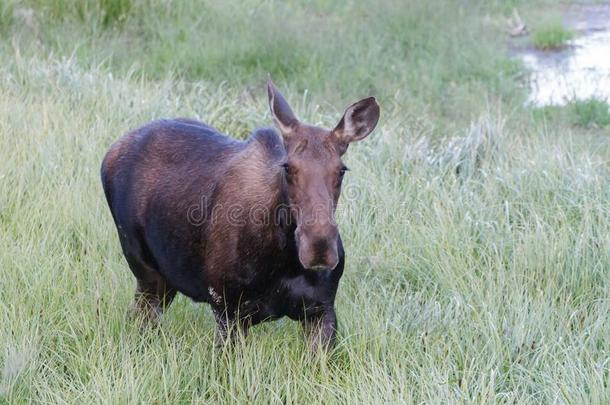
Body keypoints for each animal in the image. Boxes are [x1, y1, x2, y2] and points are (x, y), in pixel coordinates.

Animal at [101, 80, 378, 348]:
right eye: (288, 167)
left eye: (341, 170)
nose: (319, 246)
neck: (285, 260)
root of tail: (111, 151)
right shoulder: (227, 309)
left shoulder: (322, 309)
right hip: (146, 272)